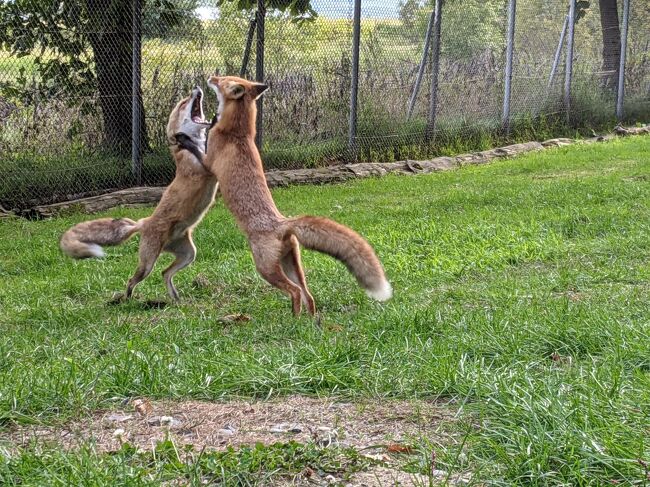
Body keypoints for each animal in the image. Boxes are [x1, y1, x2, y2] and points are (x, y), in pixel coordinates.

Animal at [205, 74, 390, 314]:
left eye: (223, 80)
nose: (211, 76)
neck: (238, 132)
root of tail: (282, 223)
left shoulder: (207, 161)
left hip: (265, 268)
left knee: (294, 291)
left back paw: (294, 318)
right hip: (291, 264)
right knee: (307, 295)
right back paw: (308, 321)